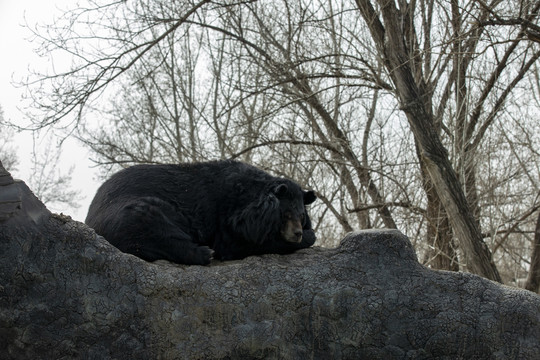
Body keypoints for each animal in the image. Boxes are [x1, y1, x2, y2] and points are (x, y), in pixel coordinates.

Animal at [85, 160, 316, 264]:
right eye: (285, 215)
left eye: (301, 216)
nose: (297, 234)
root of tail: (90, 216)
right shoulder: (228, 220)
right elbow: (243, 243)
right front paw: (308, 237)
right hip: (133, 209)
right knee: (156, 229)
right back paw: (205, 253)